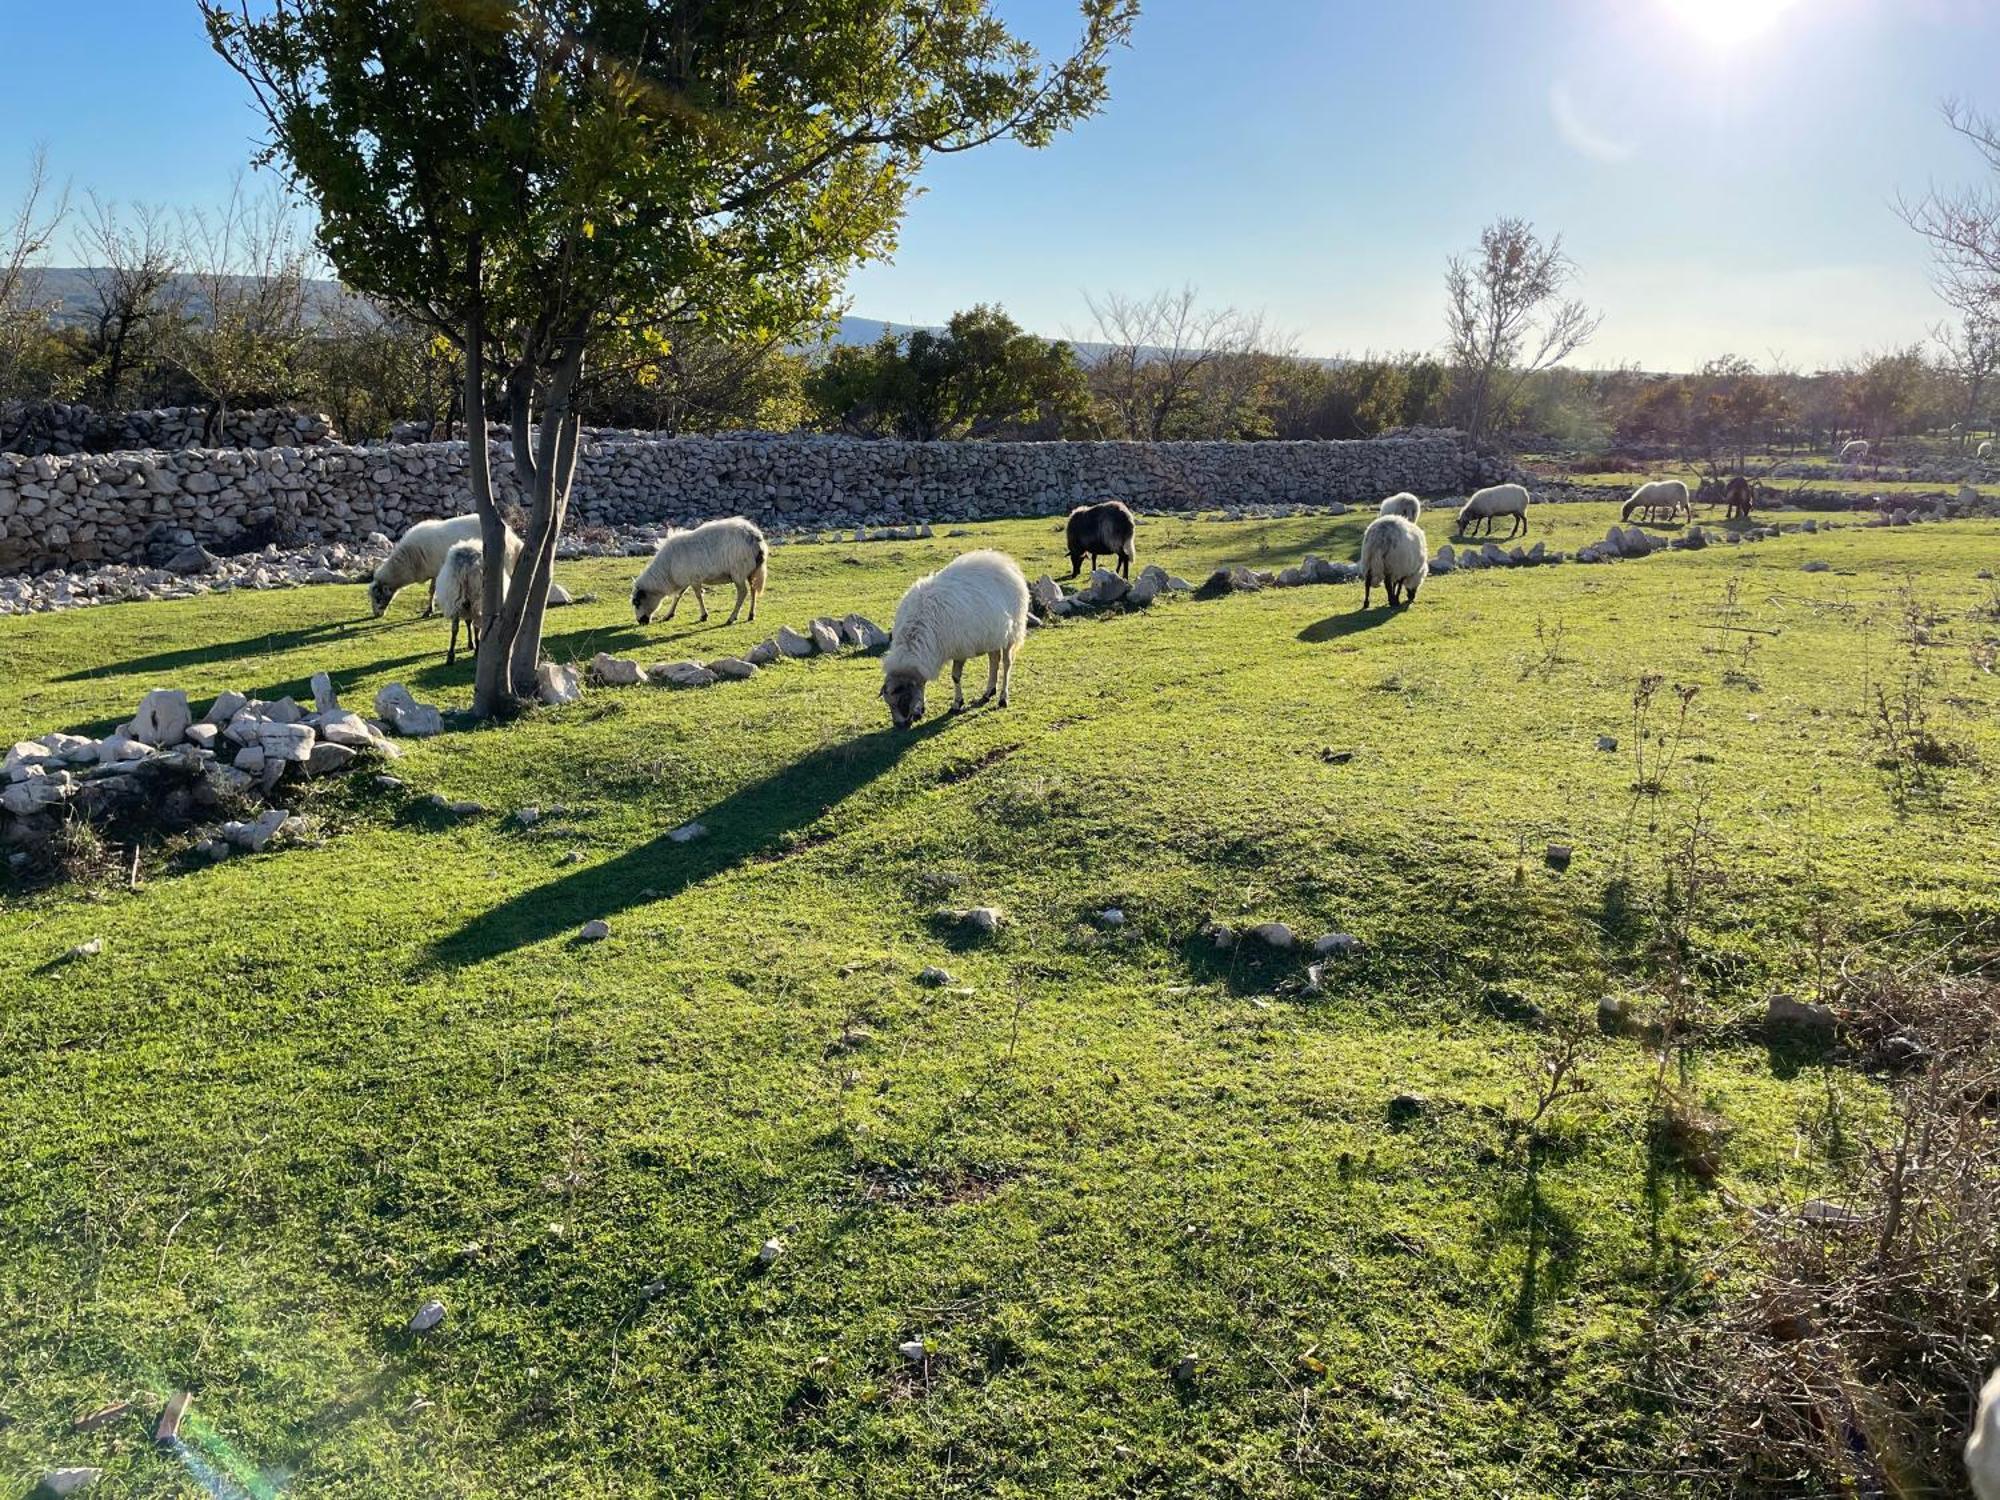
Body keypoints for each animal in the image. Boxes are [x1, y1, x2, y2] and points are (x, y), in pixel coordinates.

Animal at [370, 512, 520, 616]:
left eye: (378, 598)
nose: (376, 615)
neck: (408, 560)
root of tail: (512, 535)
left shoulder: (437, 570)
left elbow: (432, 590)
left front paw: (429, 611)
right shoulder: (432, 571)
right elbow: (431, 591)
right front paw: (430, 609)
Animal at [636, 516, 768, 624]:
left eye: (637, 602)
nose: (640, 621)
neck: (666, 569)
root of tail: (754, 537)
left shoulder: (694, 579)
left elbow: (698, 596)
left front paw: (704, 616)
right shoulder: (686, 578)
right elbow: (678, 596)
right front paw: (669, 615)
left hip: (738, 571)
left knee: (742, 593)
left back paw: (732, 618)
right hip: (752, 570)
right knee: (753, 590)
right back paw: (751, 615)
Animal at [880, 548, 1032, 732]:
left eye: (902, 700)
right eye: (889, 704)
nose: (899, 726)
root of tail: (1006, 562)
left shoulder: (959, 651)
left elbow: (955, 677)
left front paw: (956, 704)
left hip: (1011, 634)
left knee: (1007, 664)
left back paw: (1003, 698)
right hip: (992, 636)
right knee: (994, 661)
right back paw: (988, 692)